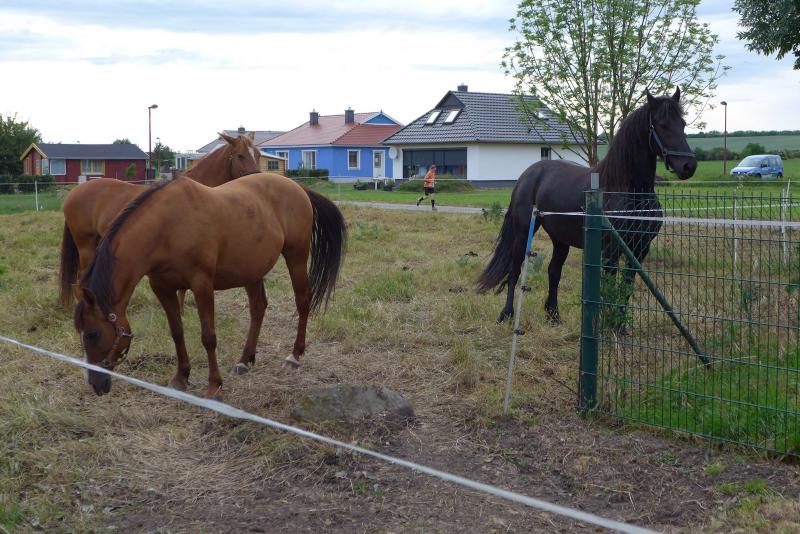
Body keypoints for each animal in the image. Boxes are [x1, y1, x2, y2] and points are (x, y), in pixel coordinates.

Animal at [73, 173, 346, 398]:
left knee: (302, 301)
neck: (167, 227)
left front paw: (214, 386)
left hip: (296, 257)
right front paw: (181, 378)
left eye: (93, 333)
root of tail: (297, 187)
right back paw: (244, 361)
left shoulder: (202, 284)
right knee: (258, 308)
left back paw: (294, 356)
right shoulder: (162, 287)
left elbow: (208, 337)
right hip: (252, 270)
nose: (94, 384)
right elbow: (177, 332)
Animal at [477, 88, 697, 325]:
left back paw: (554, 316)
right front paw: (609, 326)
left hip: (560, 239)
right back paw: (506, 315)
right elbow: (609, 286)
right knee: (515, 270)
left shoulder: (639, 249)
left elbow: (626, 288)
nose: (689, 166)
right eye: (662, 124)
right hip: (523, 232)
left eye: (683, 124)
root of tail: (528, 173)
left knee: (554, 271)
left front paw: (620, 327)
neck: (627, 191)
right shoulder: (611, 250)